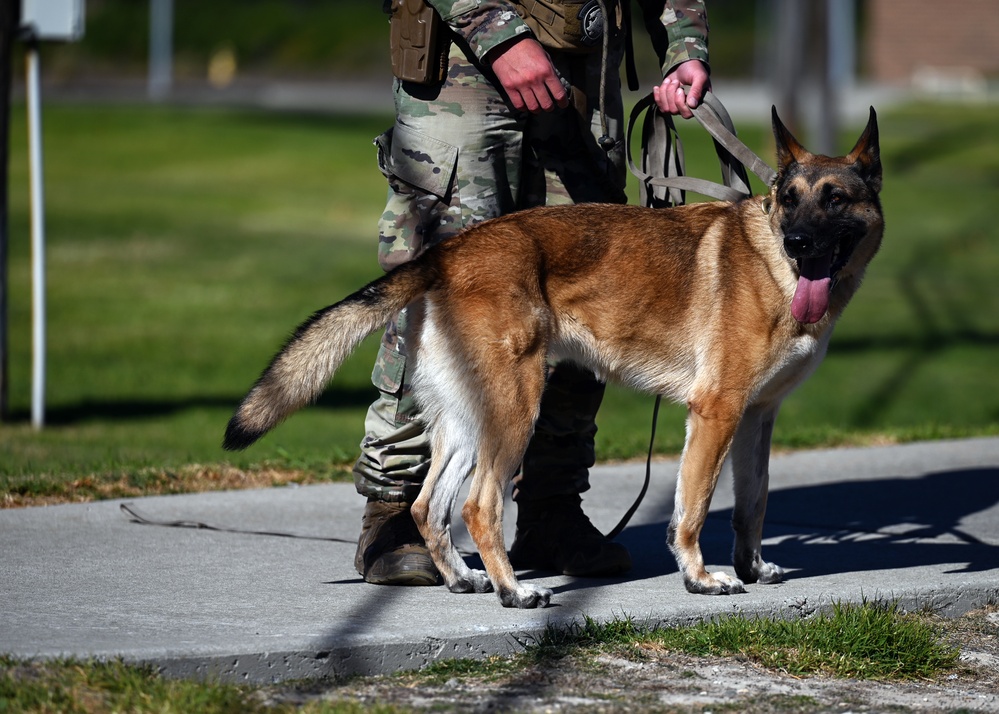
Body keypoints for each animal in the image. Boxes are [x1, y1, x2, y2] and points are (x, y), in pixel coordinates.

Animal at [227, 105, 884, 608]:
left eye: (834, 200)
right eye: (789, 200)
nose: (797, 242)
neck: (774, 267)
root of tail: (449, 253)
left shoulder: (755, 419)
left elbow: (753, 503)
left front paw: (752, 568)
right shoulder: (715, 413)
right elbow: (692, 509)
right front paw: (699, 578)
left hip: (470, 421)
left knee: (428, 505)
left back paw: (465, 579)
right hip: (516, 411)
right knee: (479, 505)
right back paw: (513, 592)